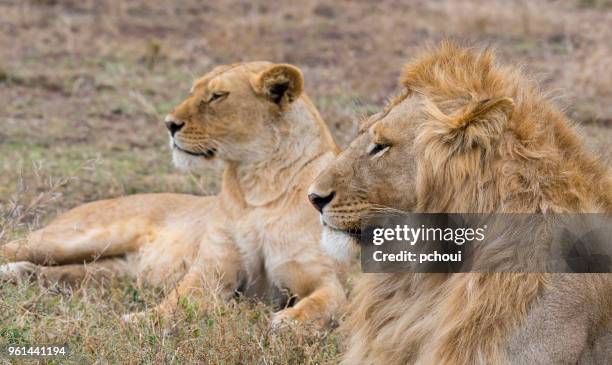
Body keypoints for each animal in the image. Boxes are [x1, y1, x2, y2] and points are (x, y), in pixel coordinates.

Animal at [0, 61, 344, 324]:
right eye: (194, 91)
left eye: (217, 96)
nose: (169, 124)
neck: (257, 185)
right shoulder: (212, 269)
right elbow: (179, 300)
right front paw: (140, 321)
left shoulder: (323, 278)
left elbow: (325, 303)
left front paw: (289, 322)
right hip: (77, 237)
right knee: (15, 248)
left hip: (115, 271)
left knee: (57, 273)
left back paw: (15, 274)